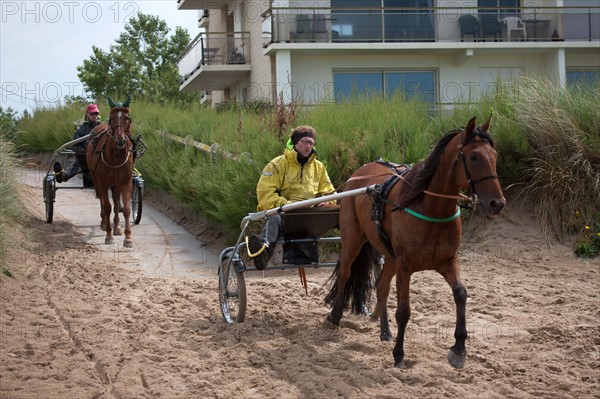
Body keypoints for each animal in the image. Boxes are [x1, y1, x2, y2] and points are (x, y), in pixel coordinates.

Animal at [86, 96, 135, 247]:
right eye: (112, 118)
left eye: (126, 118)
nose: (120, 140)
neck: (115, 157)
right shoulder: (102, 181)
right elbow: (107, 206)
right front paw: (108, 235)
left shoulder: (126, 182)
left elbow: (126, 208)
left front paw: (128, 237)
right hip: (95, 178)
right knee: (103, 200)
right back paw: (104, 223)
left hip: (116, 183)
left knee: (116, 200)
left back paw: (117, 226)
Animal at [326, 117, 504, 370]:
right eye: (474, 157)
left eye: (494, 155)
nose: (497, 203)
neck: (431, 207)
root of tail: (358, 173)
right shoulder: (405, 266)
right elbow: (404, 311)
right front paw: (399, 353)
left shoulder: (447, 261)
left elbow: (460, 293)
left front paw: (458, 348)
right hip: (353, 238)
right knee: (345, 272)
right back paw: (336, 315)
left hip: (390, 255)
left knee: (381, 285)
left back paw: (385, 331)